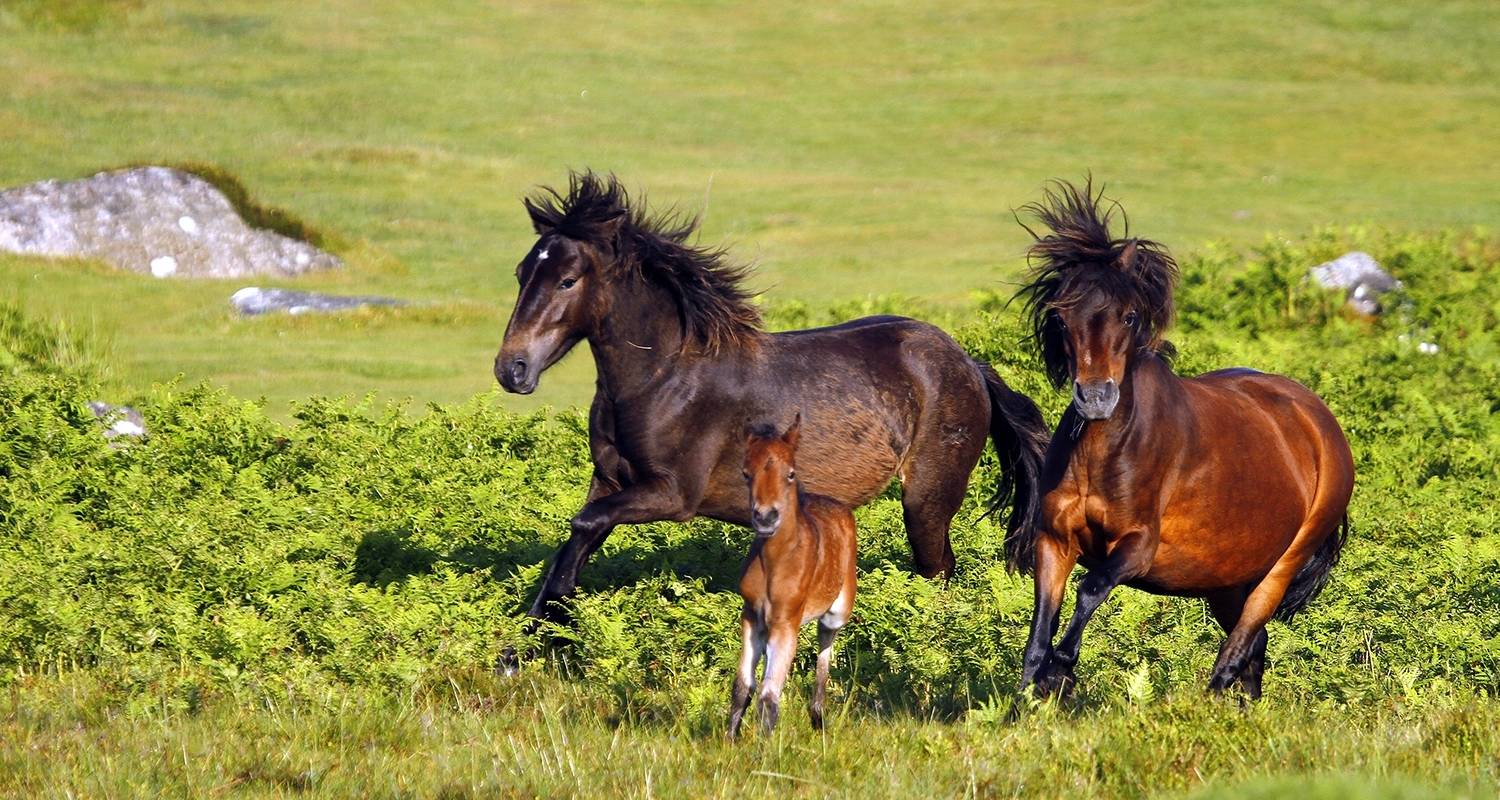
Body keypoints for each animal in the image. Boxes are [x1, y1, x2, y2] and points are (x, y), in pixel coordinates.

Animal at [498, 171, 1050, 639]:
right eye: (522, 273)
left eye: (567, 280)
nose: (512, 369)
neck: (663, 380)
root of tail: (969, 363)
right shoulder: (611, 481)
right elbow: (579, 534)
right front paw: (531, 637)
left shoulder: (672, 495)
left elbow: (584, 525)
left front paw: (548, 622)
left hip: (927, 498)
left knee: (938, 571)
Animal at [726, 414, 858, 738]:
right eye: (746, 473)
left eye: (790, 473)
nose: (765, 517)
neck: (775, 562)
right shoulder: (751, 617)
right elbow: (743, 686)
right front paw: (729, 740)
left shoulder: (786, 622)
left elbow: (769, 695)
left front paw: (764, 746)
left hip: (837, 610)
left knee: (826, 642)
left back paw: (818, 717)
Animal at [1014, 180, 1356, 699]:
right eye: (1061, 317)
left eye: (1129, 316)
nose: (1096, 397)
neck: (1106, 451)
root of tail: (1320, 422)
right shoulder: (1054, 541)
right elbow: (1038, 633)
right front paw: (1029, 698)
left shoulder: (1137, 548)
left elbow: (1090, 589)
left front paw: (1062, 670)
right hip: (1226, 579)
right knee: (1255, 650)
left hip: (1280, 566)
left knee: (1238, 649)